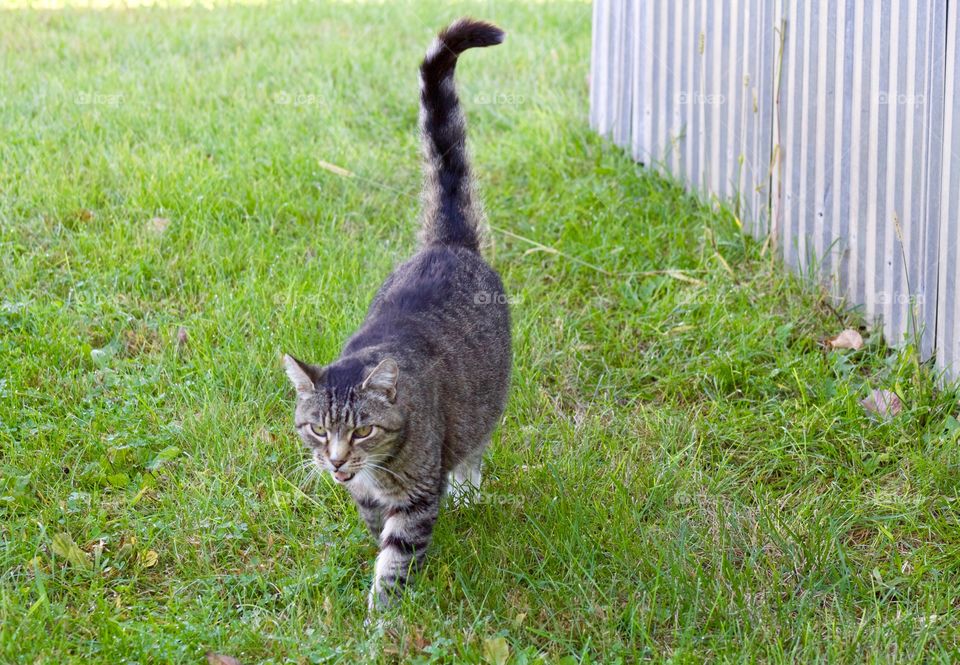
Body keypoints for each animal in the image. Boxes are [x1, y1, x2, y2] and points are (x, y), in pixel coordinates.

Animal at [284, 18, 510, 608]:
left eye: (363, 431)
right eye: (317, 430)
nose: (336, 461)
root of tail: (448, 242)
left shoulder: (416, 495)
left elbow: (397, 558)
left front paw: (381, 617)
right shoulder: (364, 498)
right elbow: (376, 532)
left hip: (487, 401)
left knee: (474, 448)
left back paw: (468, 490)